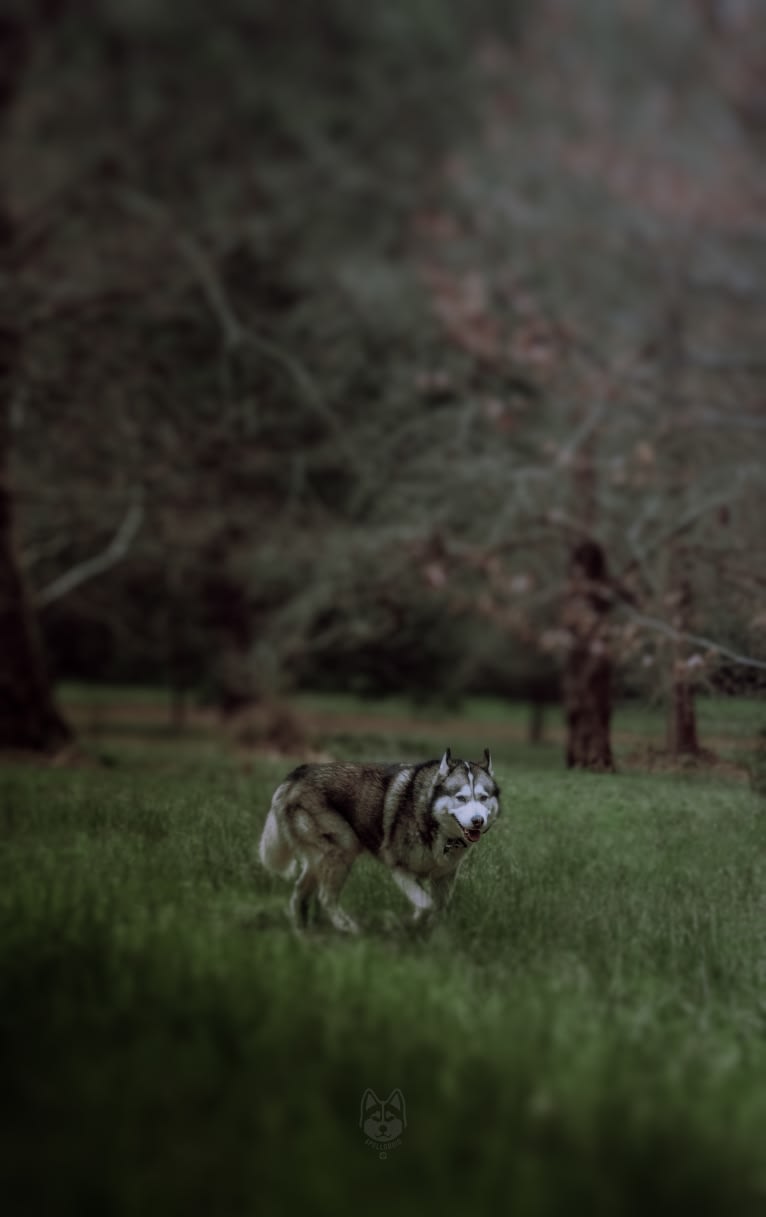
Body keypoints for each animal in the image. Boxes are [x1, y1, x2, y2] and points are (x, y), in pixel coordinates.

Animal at [258, 749, 501, 929]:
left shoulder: (444, 876)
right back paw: (346, 926)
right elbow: (427, 904)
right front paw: (410, 924)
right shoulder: (399, 868)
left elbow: (438, 907)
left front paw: (424, 929)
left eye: (483, 797)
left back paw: (302, 929)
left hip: (322, 858)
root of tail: (296, 774)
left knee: (300, 891)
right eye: (461, 798)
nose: (477, 821)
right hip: (342, 850)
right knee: (326, 897)